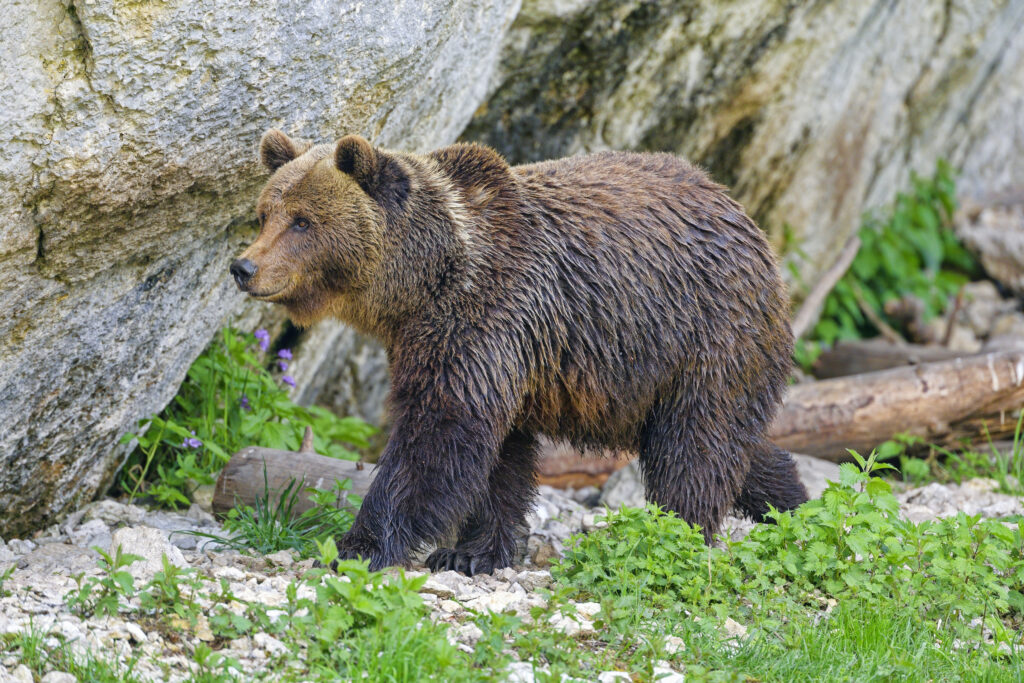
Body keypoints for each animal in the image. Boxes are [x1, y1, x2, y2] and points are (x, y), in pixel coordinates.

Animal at [231, 129, 808, 575]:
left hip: (703, 337)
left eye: (303, 221)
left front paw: (358, 545)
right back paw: (795, 507)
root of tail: (745, 217)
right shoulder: (487, 349)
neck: (425, 283)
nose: (244, 267)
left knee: (694, 446)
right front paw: (471, 553)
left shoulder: (487, 319)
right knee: (736, 445)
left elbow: (437, 436)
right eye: (264, 214)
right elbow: (498, 458)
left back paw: (674, 537)